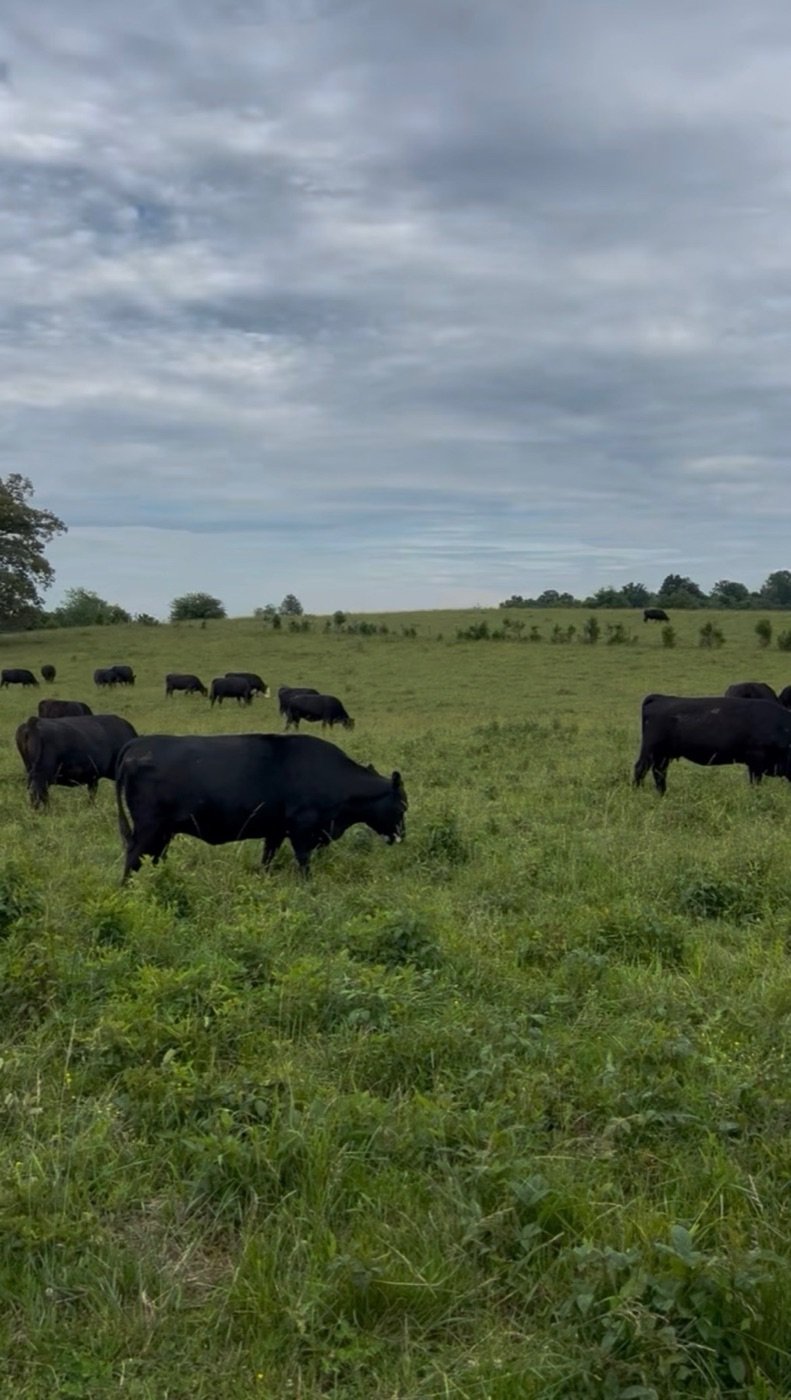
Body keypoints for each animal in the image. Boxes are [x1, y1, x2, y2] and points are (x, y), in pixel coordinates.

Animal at [115, 732, 407, 879]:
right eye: (402, 806)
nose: (401, 836)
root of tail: (138, 743)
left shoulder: (275, 832)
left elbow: (267, 860)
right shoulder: (301, 830)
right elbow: (304, 863)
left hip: (163, 832)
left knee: (150, 859)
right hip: (148, 828)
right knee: (132, 858)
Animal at [633, 693, 791, 794]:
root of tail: (660, 698)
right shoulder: (756, 759)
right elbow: (755, 782)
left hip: (663, 755)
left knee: (659, 772)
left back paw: (662, 794)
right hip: (650, 750)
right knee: (641, 769)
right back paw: (637, 792)